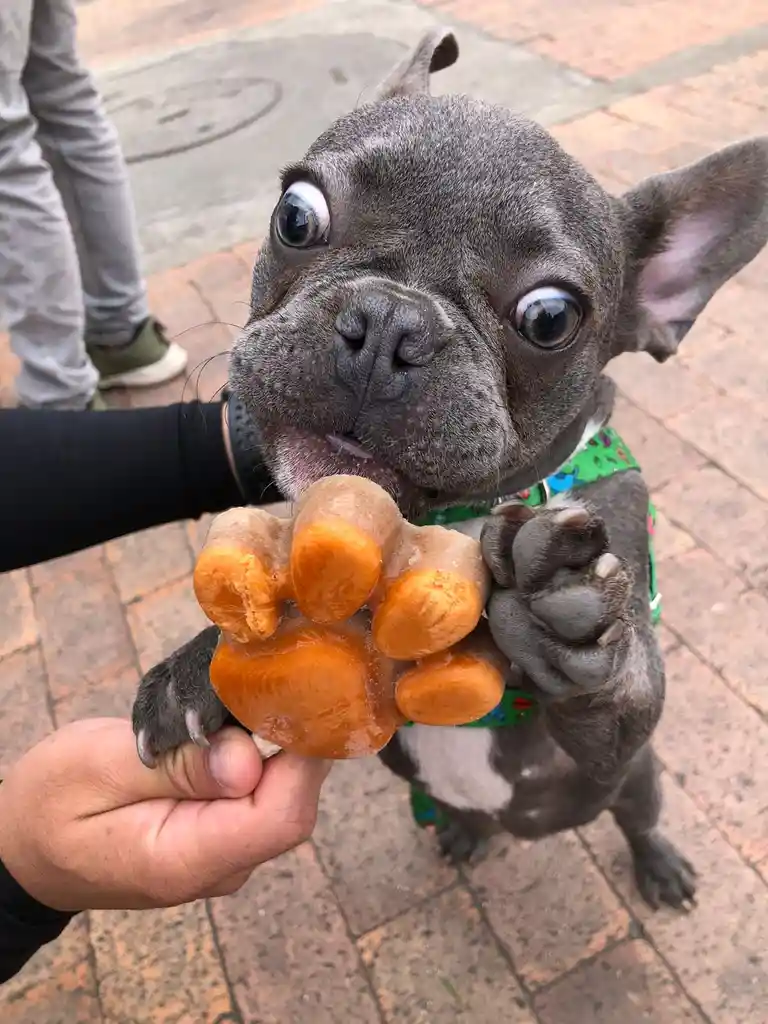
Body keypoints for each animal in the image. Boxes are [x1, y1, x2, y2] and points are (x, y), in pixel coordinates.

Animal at [132, 29, 768, 913]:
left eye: (550, 317)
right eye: (296, 215)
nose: (387, 321)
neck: (448, 517)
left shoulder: (620, 721)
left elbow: (624, 686)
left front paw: (568, 609)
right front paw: (193, 671)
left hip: (636, 782)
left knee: (638, 817)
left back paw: (657, 864)